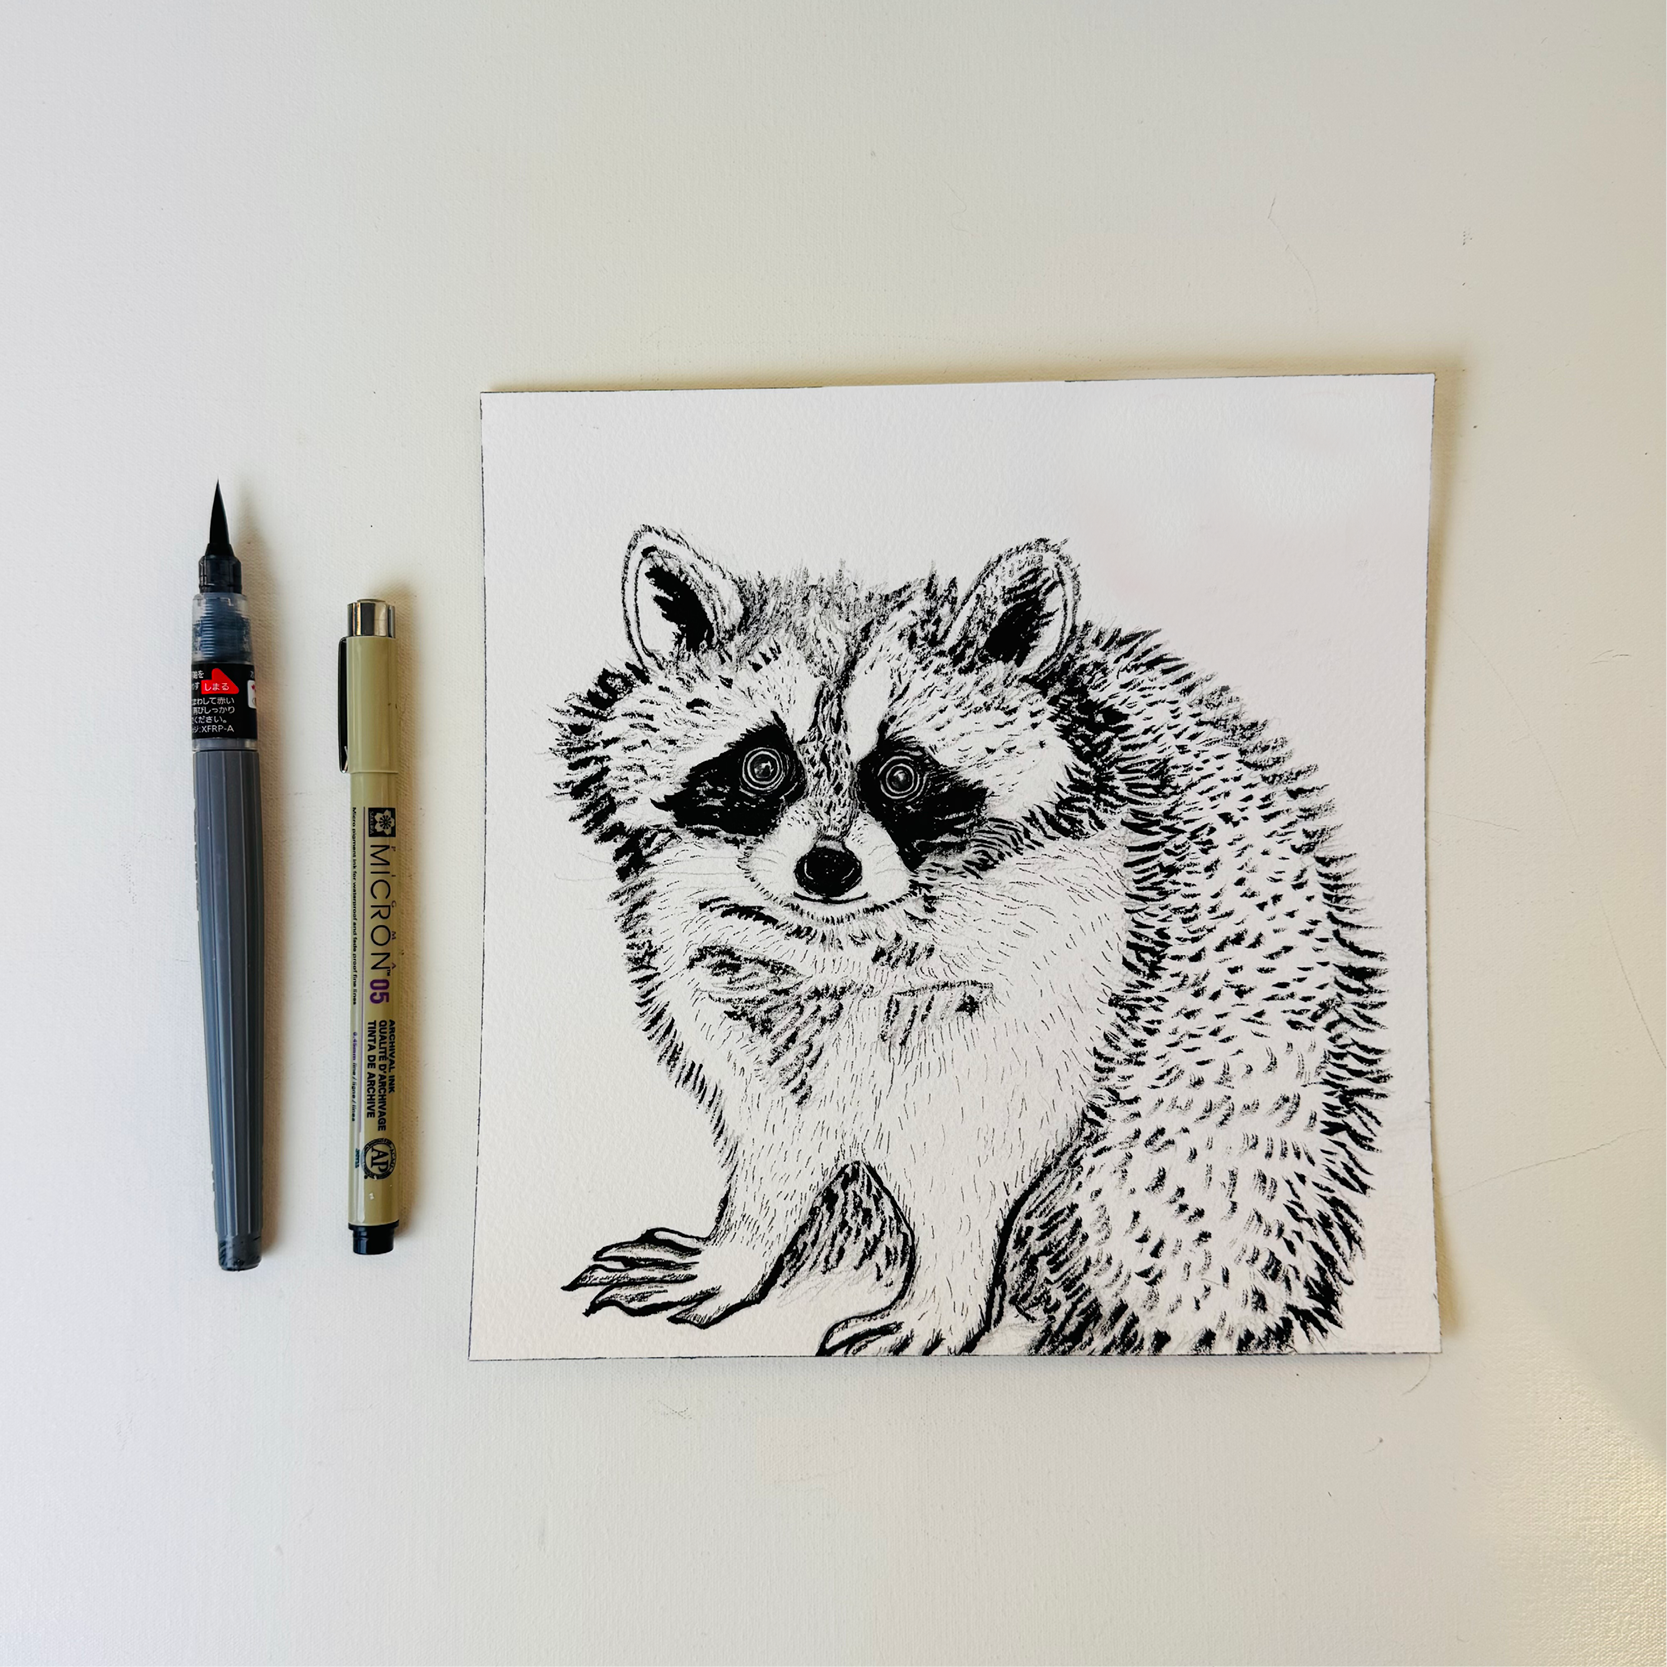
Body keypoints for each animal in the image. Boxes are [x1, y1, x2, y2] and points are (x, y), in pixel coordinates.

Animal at [556, 526, 1385, 1355]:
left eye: (900, 775)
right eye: (762, 766)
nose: (827, 866)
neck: (838, 934)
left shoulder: (1065, 954)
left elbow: (978, 1145)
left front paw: (945, 1295)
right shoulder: (726, 963)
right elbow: (776, 1124)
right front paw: (744, 1244)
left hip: (1208, 1139)